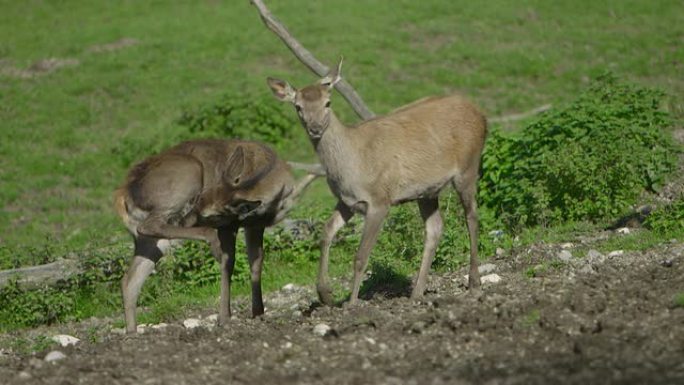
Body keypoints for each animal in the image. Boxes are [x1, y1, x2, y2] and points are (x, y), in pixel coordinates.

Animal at [115, 139, 318, 332]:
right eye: (199, 199)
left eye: (211, 212)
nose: (185, 220)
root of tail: (123, 195)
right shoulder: (229, 226)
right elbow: (228, 263)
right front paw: (224, 317)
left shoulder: (254, 225)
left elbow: (256, 262)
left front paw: (258, 313)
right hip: (187, 175)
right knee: (150, 226)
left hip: (153, 239)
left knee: (130, 280)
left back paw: (132, 332)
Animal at [268, 58, 486, 304]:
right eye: (298, 107)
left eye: (327, 102)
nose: (315, 128)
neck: (351, 167)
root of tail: (481, 114)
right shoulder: (346, 200)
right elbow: (326, 232)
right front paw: (325, 293)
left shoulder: (379, 200)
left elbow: (360, 257)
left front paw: (352, 303)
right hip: (427, 190)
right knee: (435, 227)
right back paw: (416, 293)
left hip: (468, 167)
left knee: (472, 216)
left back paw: (474, 285)